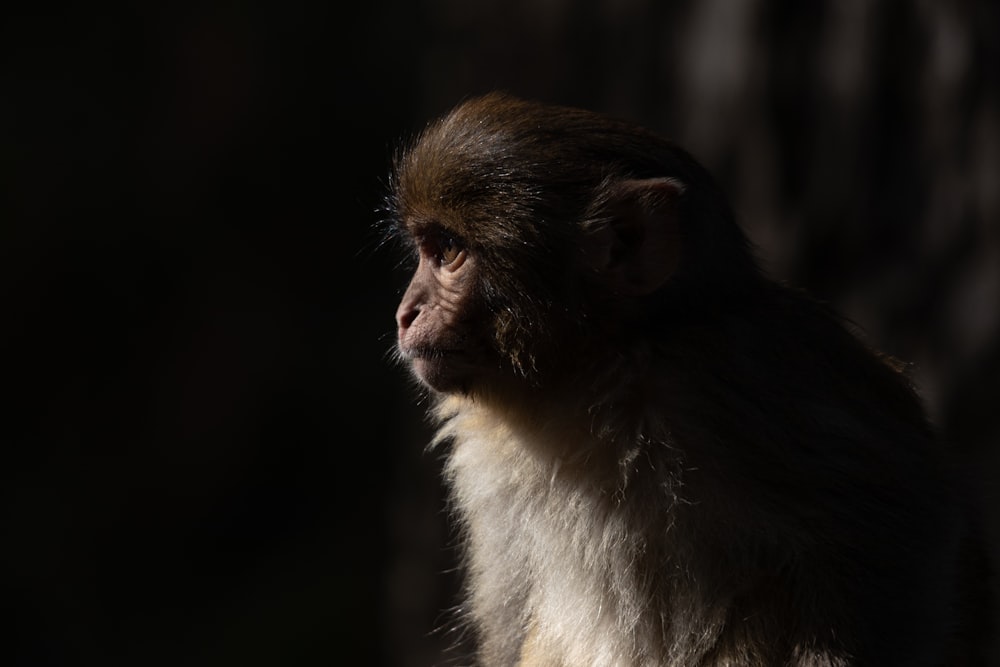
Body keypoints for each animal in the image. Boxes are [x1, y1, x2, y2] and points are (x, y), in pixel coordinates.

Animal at [382, 94, 992, 667]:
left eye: (449, 252)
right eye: (426, 250)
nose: (405, 312)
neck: (590, 378)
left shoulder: (735, 376)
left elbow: (908, 515)